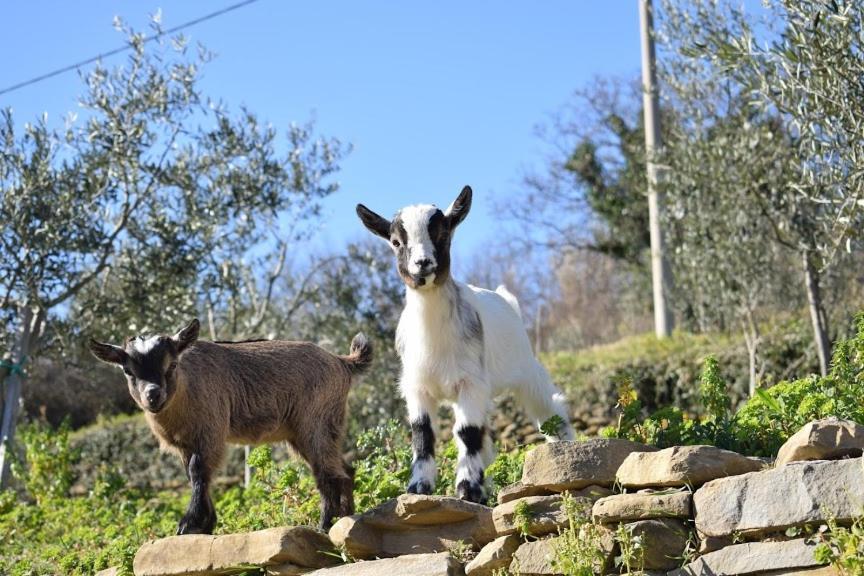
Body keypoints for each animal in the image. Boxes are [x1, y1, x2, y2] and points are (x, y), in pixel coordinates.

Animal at [354, 187, 572, 502]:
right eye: (396, 242)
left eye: (443, 233)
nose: (423, 264)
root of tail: (506, 299)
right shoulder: (417, 386)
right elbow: (423, 433)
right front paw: (419, 486)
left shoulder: (471, 383)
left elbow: (468, 432)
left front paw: (468, 490)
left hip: (527, 369)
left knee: (550, 409)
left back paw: (565, 451)